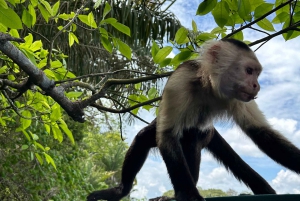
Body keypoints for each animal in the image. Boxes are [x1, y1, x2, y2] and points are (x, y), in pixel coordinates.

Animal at [86, 38, 300, 200]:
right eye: (249, 71)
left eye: (257, 74)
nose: (257, 85)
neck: (209, 87)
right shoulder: (181, 81)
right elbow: (167, 135)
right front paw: (188, 195)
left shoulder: (239, 97)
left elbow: (261, 133)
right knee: (146, 137)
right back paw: (122, 190)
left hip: (206, 132)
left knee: (191, 140)